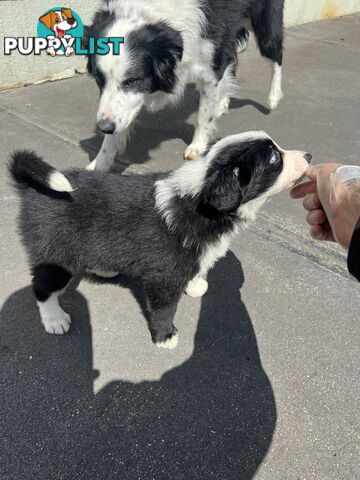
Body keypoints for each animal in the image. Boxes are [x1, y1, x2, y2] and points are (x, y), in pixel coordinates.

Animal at [9, 131, 310, 348]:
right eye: (275, 159)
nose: (308, 154)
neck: (203, 199)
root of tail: (32, 188)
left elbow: (195, 270)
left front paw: (196, 285)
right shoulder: (163, 278)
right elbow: (165, 309)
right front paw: (165, 336)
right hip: (56, 253)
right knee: (43, 287)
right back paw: (54, 319)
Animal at [86, 0, 286, 172]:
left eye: (132, 81)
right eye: (98, 79)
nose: (104, 127)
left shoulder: (208, 52)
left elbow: (204, 114)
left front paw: (197, 147)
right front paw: (99, 164)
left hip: (264, 23)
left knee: (274, 54)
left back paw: (274, 97)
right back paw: (222, 103)